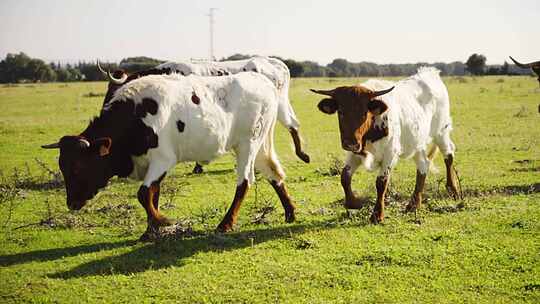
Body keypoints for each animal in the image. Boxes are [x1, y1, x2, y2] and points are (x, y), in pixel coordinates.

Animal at [41, 72, 296, 240]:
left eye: (78, 167)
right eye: (63, 167)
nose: (72, 203)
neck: (134, 117)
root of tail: (262, 81)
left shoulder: (163, 159)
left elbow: (144, 193)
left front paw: (163, 221)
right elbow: (153, 194)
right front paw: (151, 230)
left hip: (247, 144)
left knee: (244, 182)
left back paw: (226, 223)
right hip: (258, 144)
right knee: (273, 173)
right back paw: (290, 212)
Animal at [100, 56, 310, 173]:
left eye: (118, 88)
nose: (106, 106)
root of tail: (274, 62)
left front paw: (198, 166)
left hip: (277, 106)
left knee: (292, 124)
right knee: (293, 124)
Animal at [312, 67, 460, 223]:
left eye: (364, 113)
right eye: (340, 112)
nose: (350, 143)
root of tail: (430, 72)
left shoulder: (390, 153)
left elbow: (381, 182)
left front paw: (377, 214)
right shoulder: (354, 153)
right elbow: (344, 177)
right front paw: (354, 203)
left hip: (441, 132)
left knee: (448, 156)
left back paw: (453, 190)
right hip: (417, 142)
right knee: (423, 165)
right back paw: (414, 204)